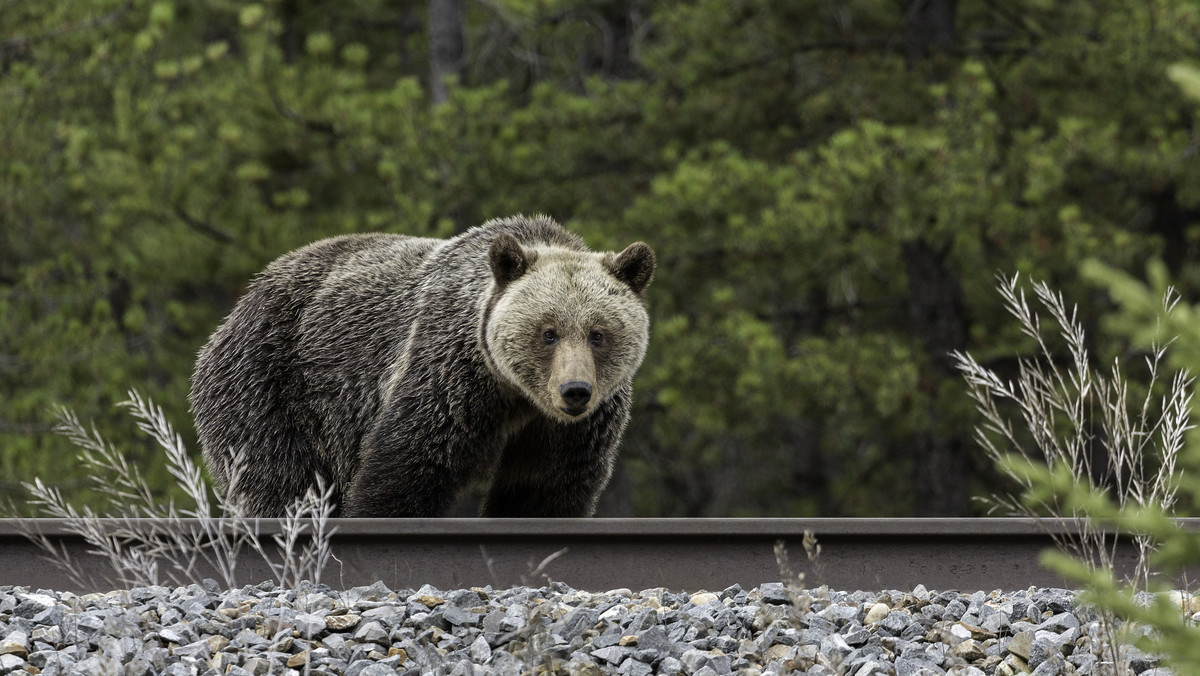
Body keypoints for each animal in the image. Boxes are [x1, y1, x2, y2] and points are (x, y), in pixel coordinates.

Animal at [188, 216, 657, 518]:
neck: (517, 397)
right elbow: (406, 469)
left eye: (598, 333)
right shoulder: (451, 378)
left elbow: (546, 490)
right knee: (280, 480)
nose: (574, 390)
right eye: (548, 332)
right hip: (270, 384)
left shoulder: (569, 430)